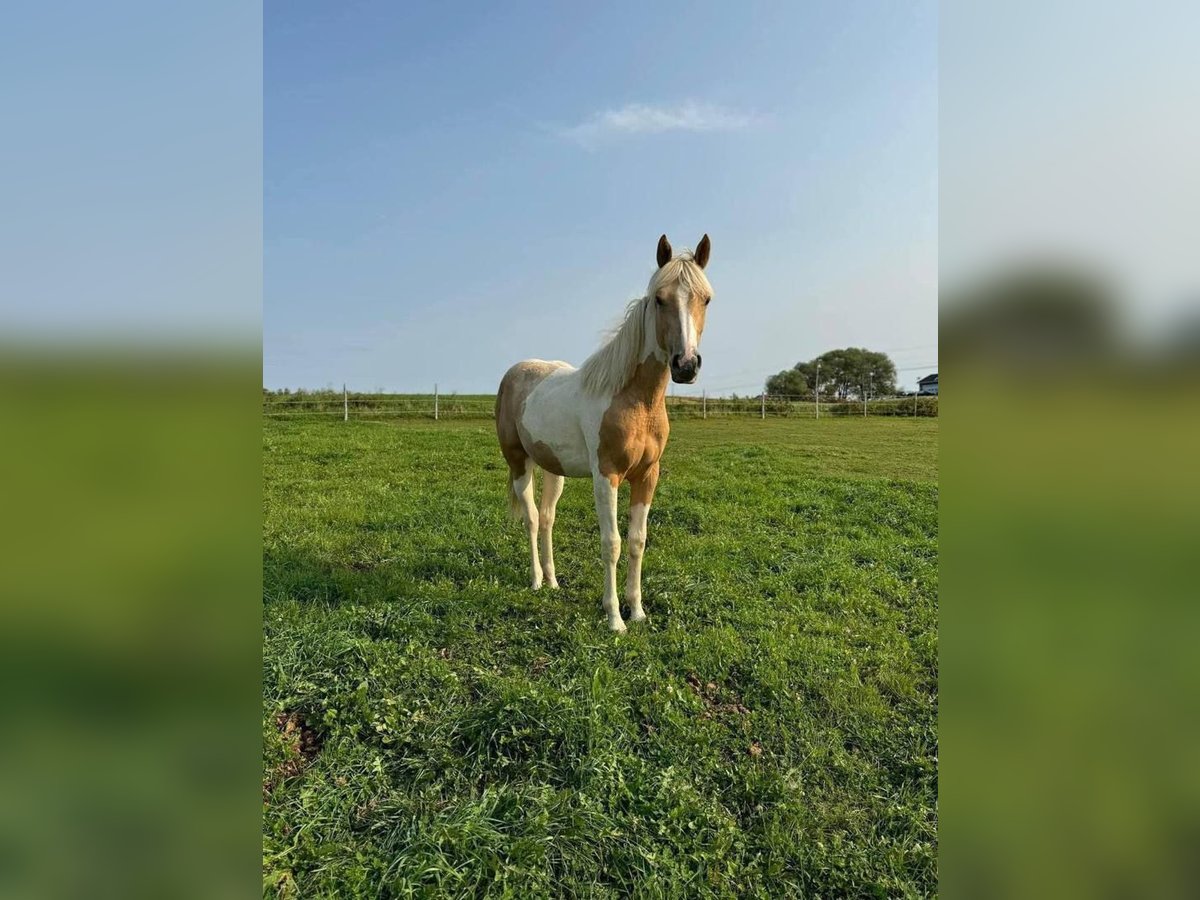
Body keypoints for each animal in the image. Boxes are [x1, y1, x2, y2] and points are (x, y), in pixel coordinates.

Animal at [495, 233, 713, 632]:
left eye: (705, 298)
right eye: (659, 299)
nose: (686, 365)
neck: (634, 399)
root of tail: (514, 373)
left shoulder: (647, 476)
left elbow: (637, 540)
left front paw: (637, 610)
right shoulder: (606, 476)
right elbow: (611, 543)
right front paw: (614, 618)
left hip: (553, 469)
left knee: (547, 518)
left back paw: (553, 581)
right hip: (519, 463)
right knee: (532, 517)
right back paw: (535, 580)